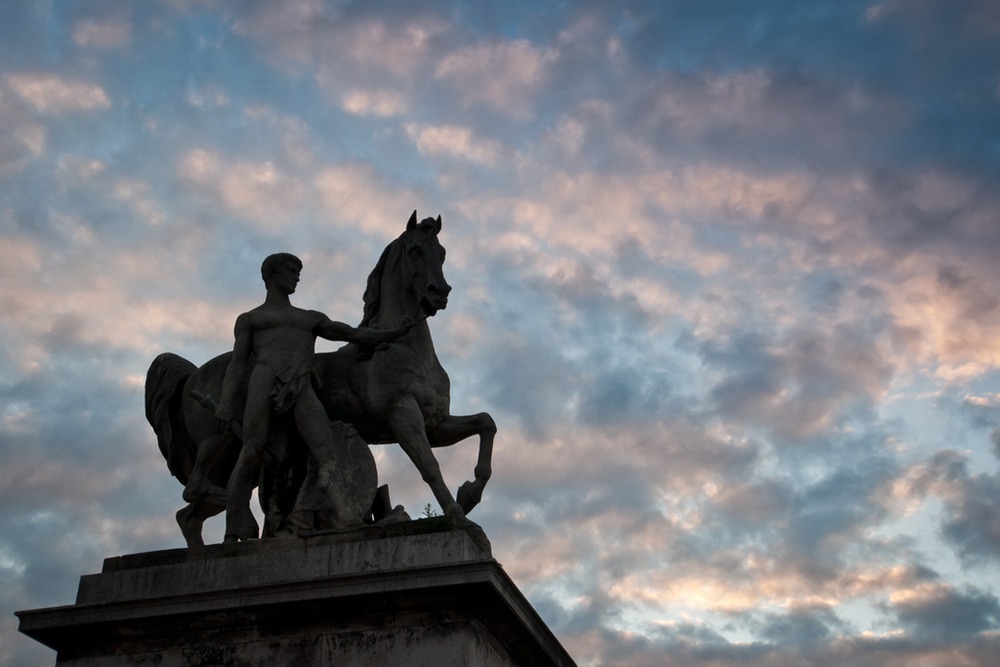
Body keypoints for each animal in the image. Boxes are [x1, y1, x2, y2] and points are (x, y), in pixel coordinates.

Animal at [146, 213, 496, 548]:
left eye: (442, 252)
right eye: (414, 250)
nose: (440, 293)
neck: (404, 349)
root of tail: (193, 375)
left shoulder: (436, 424)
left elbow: (485, 423)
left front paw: (469, 493)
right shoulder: (402, 416)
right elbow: (429, 466)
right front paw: (464, 522)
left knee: (189, 514)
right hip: (220, 441)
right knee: (197, 487)